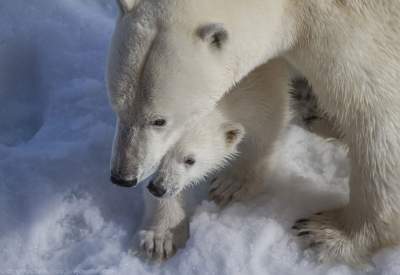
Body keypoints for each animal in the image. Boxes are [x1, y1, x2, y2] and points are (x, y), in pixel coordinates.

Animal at [108, 0, 400, 266]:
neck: (296, 6)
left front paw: (329, 233)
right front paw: (160, 235)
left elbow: (377, 113)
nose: (123, 176)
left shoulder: (352, 30)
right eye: (117, 107)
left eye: (159, 120)